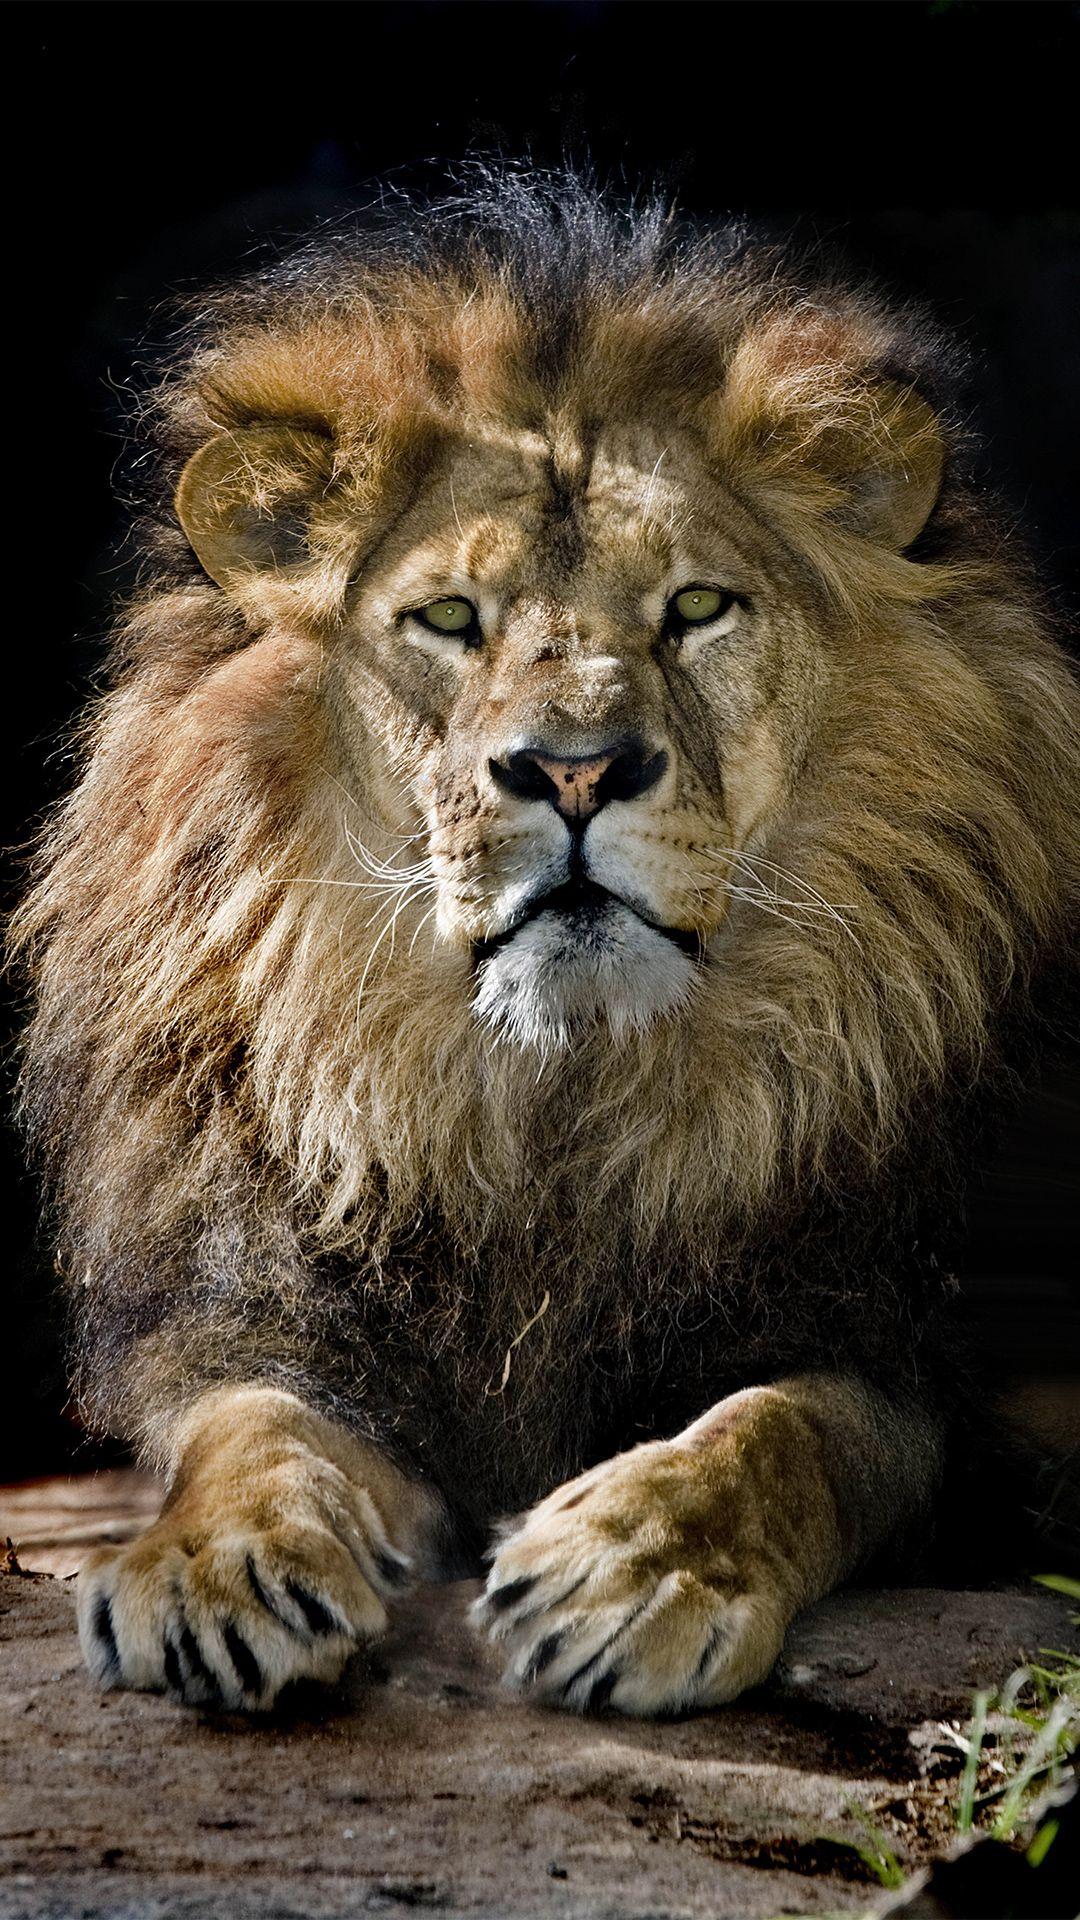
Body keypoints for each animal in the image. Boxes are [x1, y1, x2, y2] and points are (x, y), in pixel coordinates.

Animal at [12, 171, 1079, 1719]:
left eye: (696, 607)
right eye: (451, 618)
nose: (575, 770)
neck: (550, 1100)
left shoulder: (900, 1346)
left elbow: (779, 1431)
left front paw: (633, 1568)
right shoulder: (269, 1312)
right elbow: (255, 1428)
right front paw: (220, 1563)